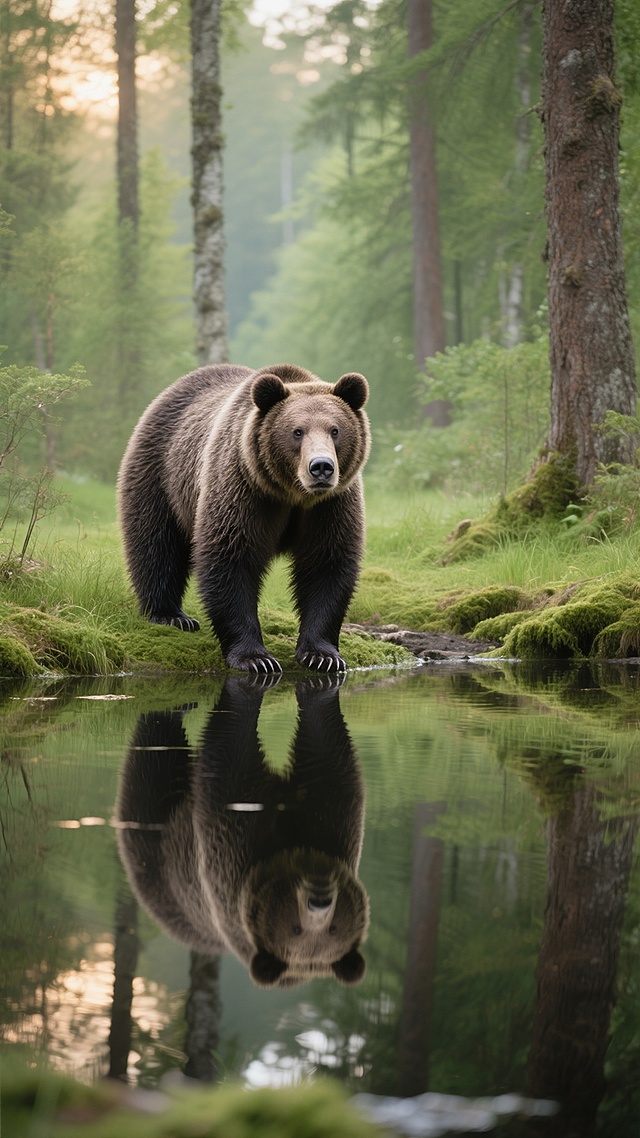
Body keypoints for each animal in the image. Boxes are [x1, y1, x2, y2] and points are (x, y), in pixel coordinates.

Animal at [116, 675, 369, 987]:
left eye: (334, 928)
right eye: (295, 928)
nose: (318, 900)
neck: (290, 849)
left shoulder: (335, 828)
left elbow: (327, 764)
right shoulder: (231, 854)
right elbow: (231, 766)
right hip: (159, 858)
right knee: (154, 758)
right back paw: (172, 710)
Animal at [117, 363, 371, 673]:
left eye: (335, 430)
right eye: (297, 431)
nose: (321, 467)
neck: (292, 494)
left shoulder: (330, 506)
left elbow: (326, 565)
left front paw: (322, 655)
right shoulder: (243, 490)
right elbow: (230, 560)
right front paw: (256, 658)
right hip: (161, 473)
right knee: (157, 544)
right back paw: (171, 615)